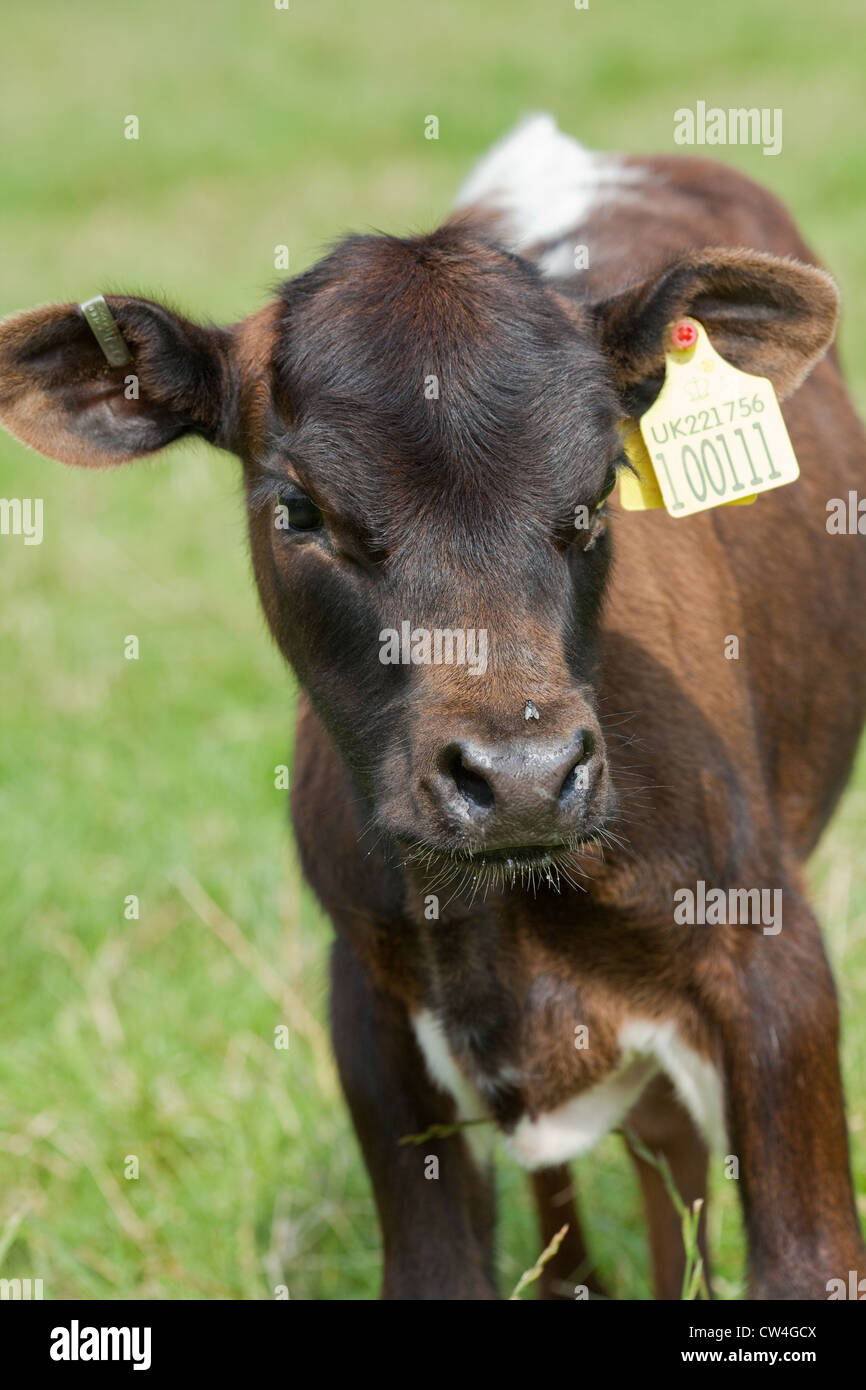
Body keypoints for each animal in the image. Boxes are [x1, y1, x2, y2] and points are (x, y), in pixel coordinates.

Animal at [1, 113, 866, 1295]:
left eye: (598, 492)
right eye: (299, 508)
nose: (524, 780)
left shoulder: (773, 969)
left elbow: (803, 1255)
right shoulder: (368, 1010)